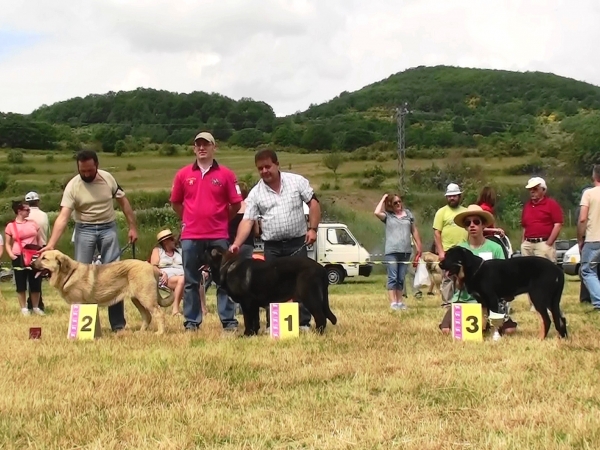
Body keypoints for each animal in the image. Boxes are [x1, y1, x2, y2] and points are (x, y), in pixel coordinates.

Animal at [32, 250, 173, 334]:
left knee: (159, 314)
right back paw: (141, 332)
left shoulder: (78, 303)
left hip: (146, 298)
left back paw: (160, 333)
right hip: (137, 299)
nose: (31, 263)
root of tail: (153, 268)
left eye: (44, 258)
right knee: (147, 316)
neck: (69, 273)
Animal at [204, 246, 338, 338]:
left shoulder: (246, 303)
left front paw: (246, 335)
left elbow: (248, 320)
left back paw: (317, 334)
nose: (198, 255)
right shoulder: (253, 304)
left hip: (310, 297)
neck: (227, 266)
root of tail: (321, 268)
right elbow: (255, 320)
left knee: (321, 317)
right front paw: (253, 334)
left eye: (203, 252)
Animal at [440, 246, 568, 338]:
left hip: (538, 298)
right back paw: (562, 338)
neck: (475, 270)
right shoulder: (482, 302)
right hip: (552, 301)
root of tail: (558, 269)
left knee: (547, 320)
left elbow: (492, 319)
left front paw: (495, 335)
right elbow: (483, 320)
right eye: (445, 254)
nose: (440, 264)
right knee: (561, 319)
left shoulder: (492, 299)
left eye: (451, 255)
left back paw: (541, 338)